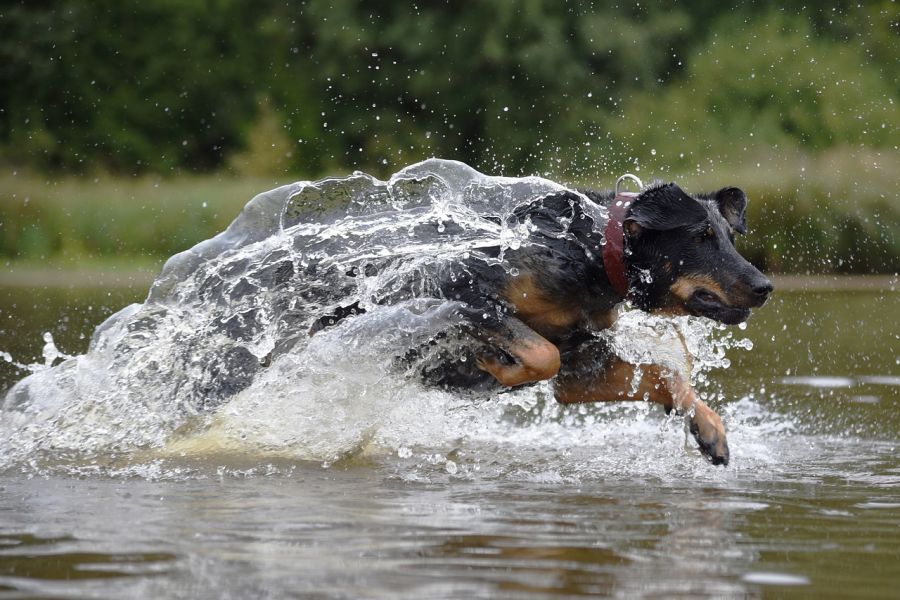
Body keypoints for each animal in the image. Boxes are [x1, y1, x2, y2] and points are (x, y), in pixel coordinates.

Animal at [312, 180, 768, 466]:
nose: (765, 286)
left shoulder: (580, 366)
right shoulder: (460, 291)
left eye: (729, 237)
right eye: (701, 236)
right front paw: (495, 366)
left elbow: (663, 375)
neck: (590, 254)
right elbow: (542, 352)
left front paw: (707, 425)